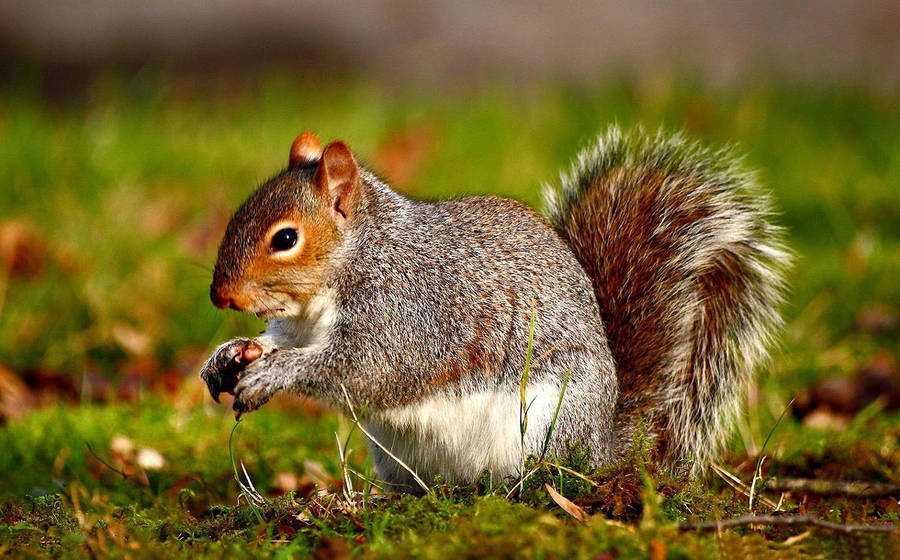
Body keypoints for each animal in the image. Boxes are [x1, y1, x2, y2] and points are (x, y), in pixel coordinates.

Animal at [200, 127, 790, 491]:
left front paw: (273, 374)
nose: (220, 297)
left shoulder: (408, 310)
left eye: (286, 238)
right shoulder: (300, 324)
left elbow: (366, 367)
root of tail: (603, 444)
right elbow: (281, 341)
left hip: (546, 422)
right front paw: (229, 355)